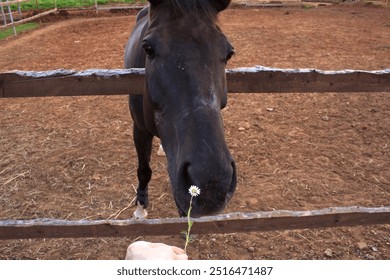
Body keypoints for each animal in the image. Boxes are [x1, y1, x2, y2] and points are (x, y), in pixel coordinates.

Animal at [125, 0, 236, 218]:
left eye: (229, 53)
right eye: (148, 48)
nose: (210, 182)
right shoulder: (139, 129)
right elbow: (143, 170)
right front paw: (141, 207)